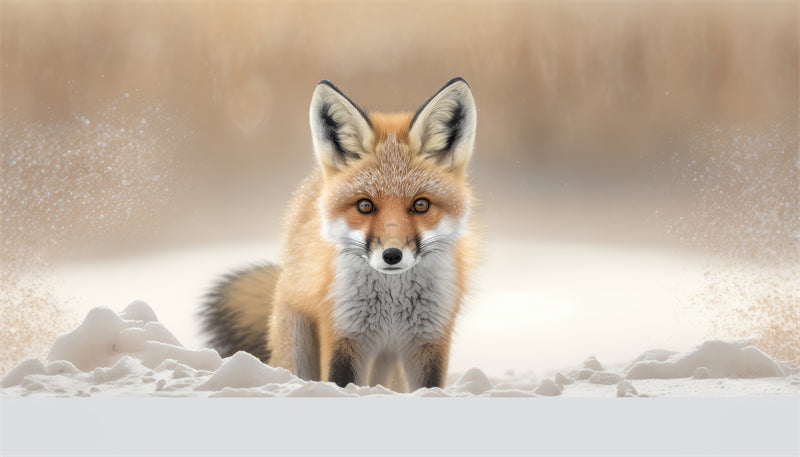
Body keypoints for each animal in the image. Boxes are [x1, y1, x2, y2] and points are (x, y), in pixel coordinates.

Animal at [200, 77, 478, 391]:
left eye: (421, 205)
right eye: (365, 206)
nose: (392, 255)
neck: (392, 304)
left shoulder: (430, 340)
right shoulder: (343, 335)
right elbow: (341, 384)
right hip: (299, 348)